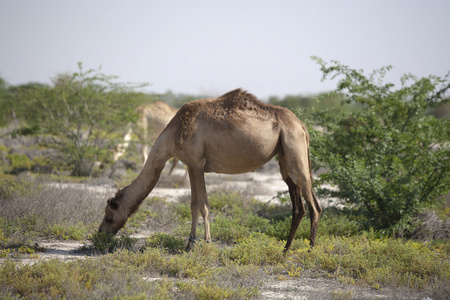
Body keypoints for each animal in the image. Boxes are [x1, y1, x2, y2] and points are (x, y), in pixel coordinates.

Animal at [100, 88, 322, 252]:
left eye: (109, 215)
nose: (100, 233)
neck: (172, 134)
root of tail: (302, 126)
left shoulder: (196, 163)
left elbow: (203, 204)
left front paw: (204, 242)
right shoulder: (191, 164)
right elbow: (194, 204)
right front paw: (191, 243)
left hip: (295, 149)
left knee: (313, 205)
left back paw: (310, 250)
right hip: (284, 156)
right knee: (298, 205)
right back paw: (285, 249)